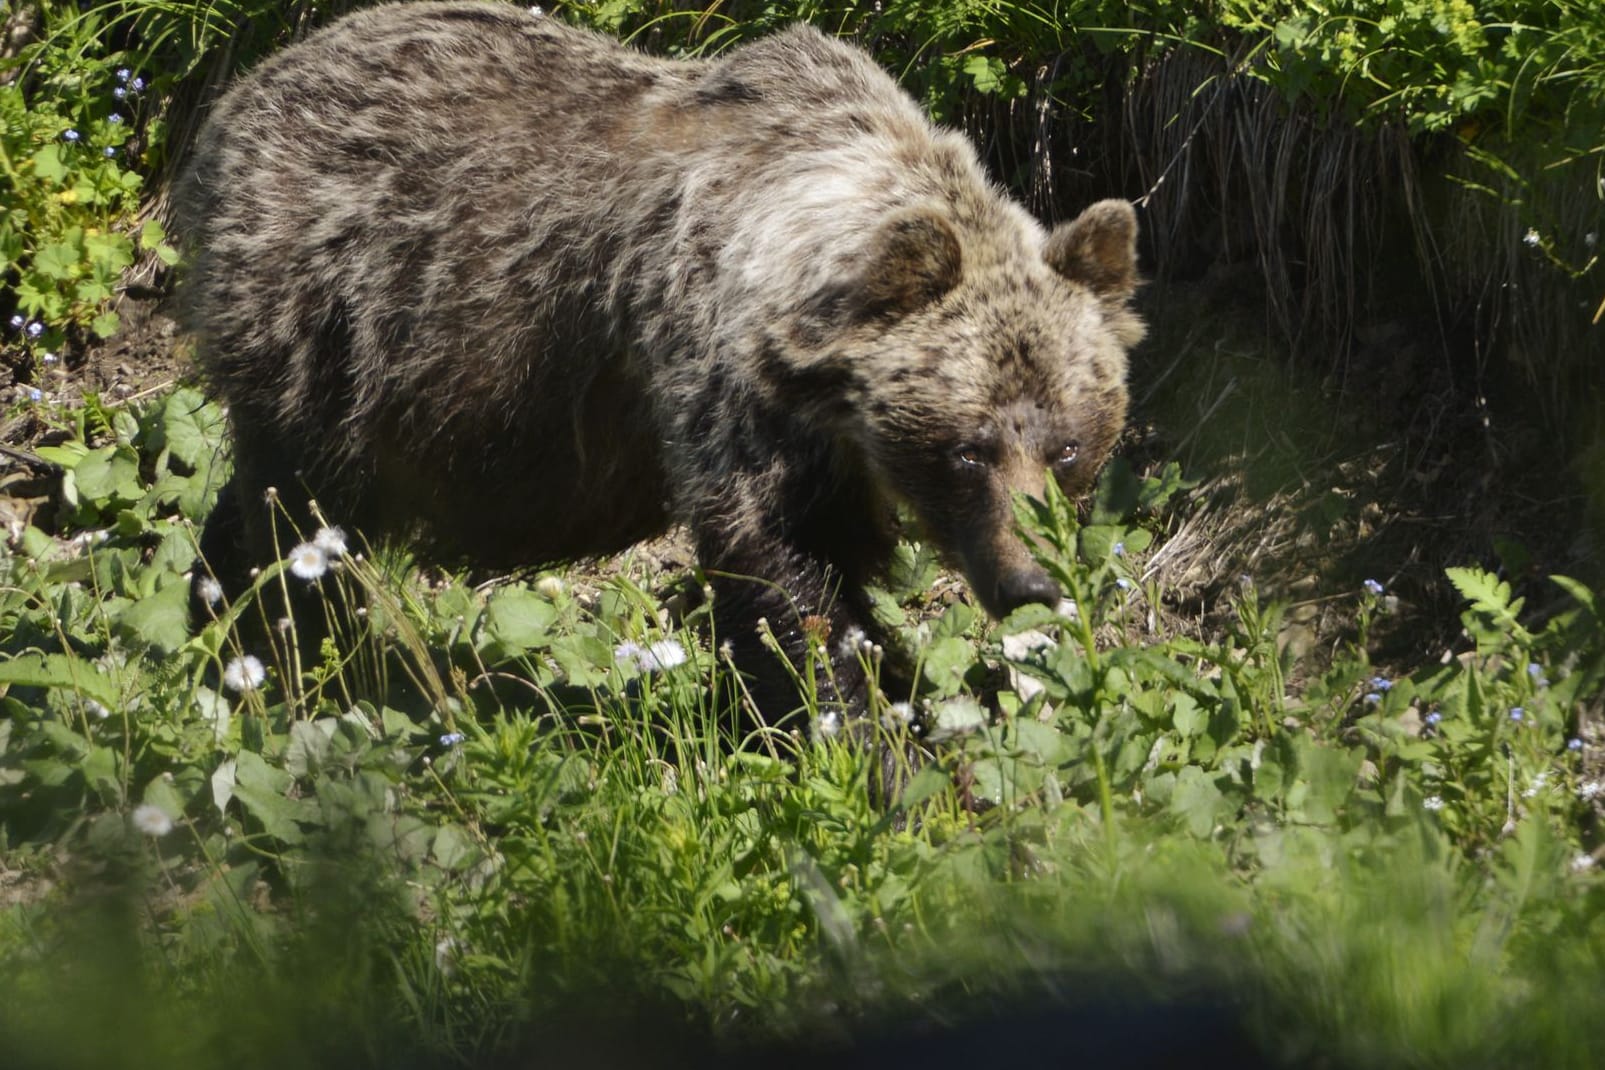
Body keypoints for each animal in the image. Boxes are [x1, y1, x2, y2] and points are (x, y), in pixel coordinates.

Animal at [175, 4, 1142, 744]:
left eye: (1067, 446)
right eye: (967, 449)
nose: (1032, 584)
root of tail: (239, 95)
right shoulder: (720, 380)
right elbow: (785, 581)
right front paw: (867, 741)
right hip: (330, 326)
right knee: (294, 514)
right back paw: (274, 658)